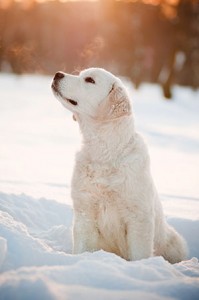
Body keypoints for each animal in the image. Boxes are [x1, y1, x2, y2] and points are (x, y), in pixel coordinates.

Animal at [51, 67, 188, 262]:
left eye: (89, 80)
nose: (57, 74)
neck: (105, 151)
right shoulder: (85, 213)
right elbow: (82, 248)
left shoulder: (139, 219)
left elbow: (139, 254)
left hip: (175, 243)